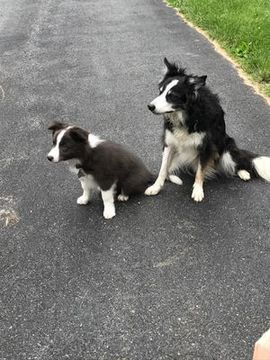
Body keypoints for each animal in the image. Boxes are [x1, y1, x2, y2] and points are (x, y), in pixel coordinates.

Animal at [146, 57, 270, 201]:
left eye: (172, 95)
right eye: (160, 92)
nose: (150, 106)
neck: (188, 116)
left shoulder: (206, 147)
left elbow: (200, 172)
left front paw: (198, 191)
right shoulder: (169, 144)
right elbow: (163, 169)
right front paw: (155, 187)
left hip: (226, 148)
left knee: (239, 162)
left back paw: (244, 173)